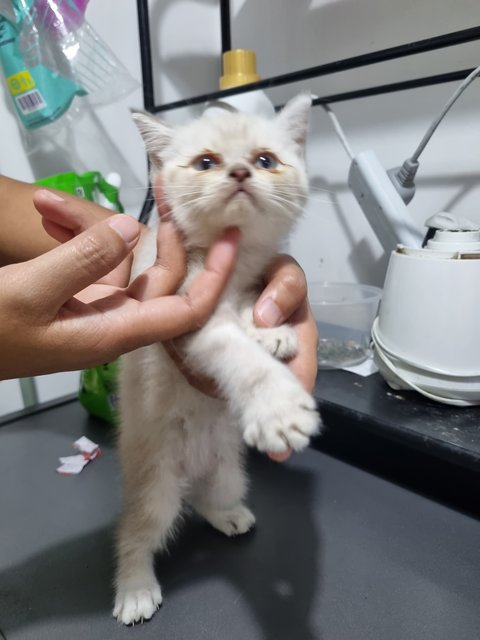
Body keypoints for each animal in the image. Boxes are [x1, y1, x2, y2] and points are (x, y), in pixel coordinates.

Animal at [114, 95, 320, 624]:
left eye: (266, 160)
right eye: (206, 163)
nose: (242, 172)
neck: (229, 260)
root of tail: (191, 472)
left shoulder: (249, 284)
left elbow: (251, 309)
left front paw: (270, 333)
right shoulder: (191, 314)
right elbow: (233, 351)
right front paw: (278, 409)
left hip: (228, 474)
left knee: (209, 498)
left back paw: (226, 515)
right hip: (156, 487)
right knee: (135, 532)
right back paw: (134, 588)